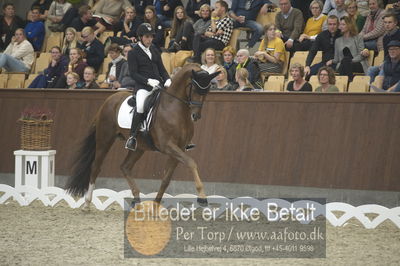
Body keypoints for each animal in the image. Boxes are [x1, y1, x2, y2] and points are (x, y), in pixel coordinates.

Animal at [65, 64, 219, 208]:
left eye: (207, 90)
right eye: (194, 88)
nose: (196, 116)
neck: (175, 109)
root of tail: (109, 100)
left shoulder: (179, 149)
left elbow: (166, 179)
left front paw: (156, 205)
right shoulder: (167, 146)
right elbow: (192, 163)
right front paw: (202, 197)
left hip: (139, 147)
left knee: (125, 167)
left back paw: (136, 200)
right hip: (105, 139)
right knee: (96, 167)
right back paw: (87, 203)